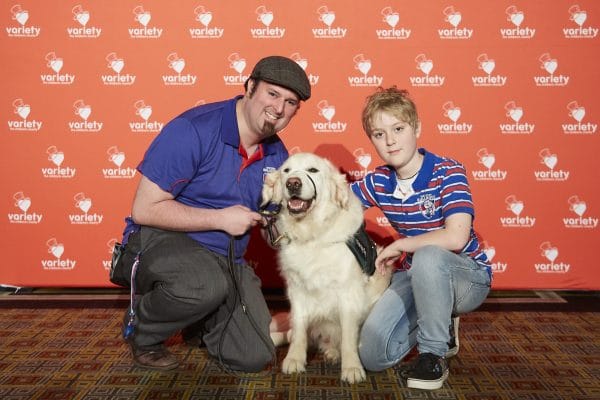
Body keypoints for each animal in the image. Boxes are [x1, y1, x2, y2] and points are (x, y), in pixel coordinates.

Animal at [262, 152, 392, 382]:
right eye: (286, 171)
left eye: (313, 170)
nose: (292, 183)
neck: (312, 235)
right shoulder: (297, 290)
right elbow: (298, 329)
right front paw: (294, 359)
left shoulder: (348, 293)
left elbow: (348, 337)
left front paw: (351, 368)